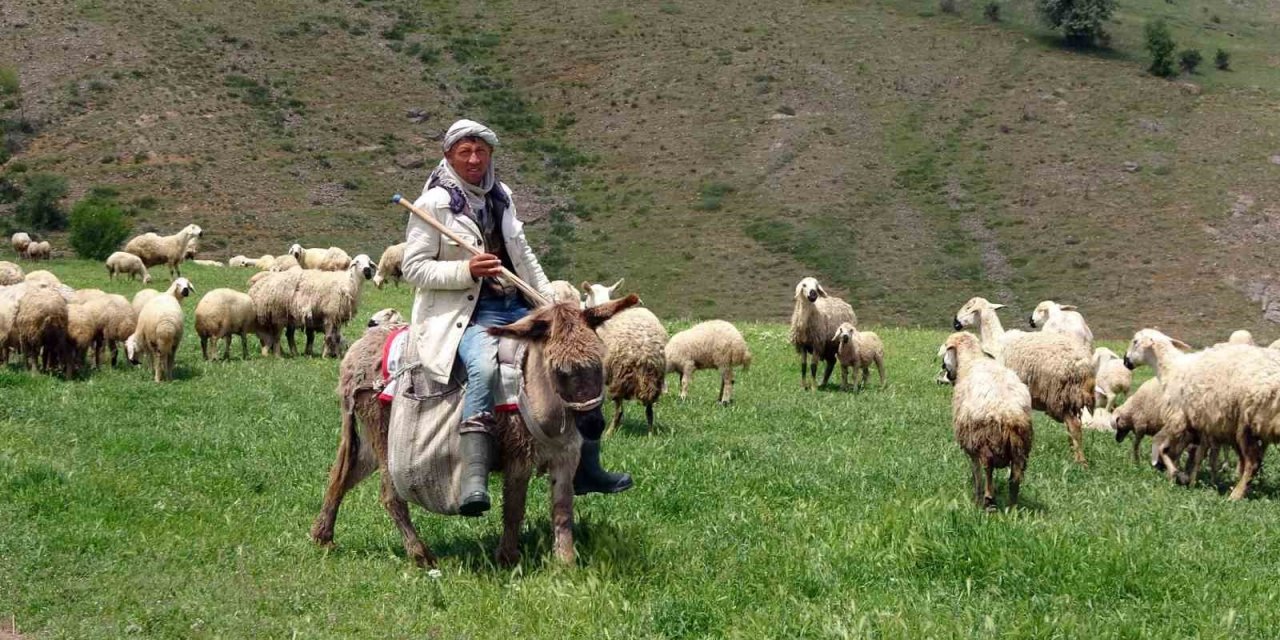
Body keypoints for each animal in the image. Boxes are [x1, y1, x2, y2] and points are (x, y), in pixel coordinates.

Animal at [586, 279, 670, 432]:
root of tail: (644, 354)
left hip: (619, 373)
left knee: (619, 410)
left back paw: (609, 432)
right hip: (654, 377)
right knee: (649, 411)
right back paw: (651, 433)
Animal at [947, 332, 1034, 512]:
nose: (948, 374)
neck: (972, 359)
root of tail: (1010, 415)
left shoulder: (971, 444)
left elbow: (976, 473)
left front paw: (976, 498)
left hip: (983, 439)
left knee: (988, 467)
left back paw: (988, 500)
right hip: (1021, 447)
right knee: (1015, 477)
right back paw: (1012, 507)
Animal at [957, 294, 1095, 465]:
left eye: (969, 308)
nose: (955, 323)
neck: (996, 341)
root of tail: (1082, 365)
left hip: (1059, 394)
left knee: (1074, 426)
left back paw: (1079, 461)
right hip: (1071, 397)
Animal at [1126, 330, 1280, 499]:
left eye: (1135, 341)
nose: (1125, 361)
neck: (1170, 369)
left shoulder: (1178, 420)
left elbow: (1162, 448)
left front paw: (1178, 474)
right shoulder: (1199, 427)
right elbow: (1189, 453)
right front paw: (1186, 476)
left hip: (1248, 422)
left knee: (1253, 462)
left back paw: (1235, 495)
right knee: (1250, 460)